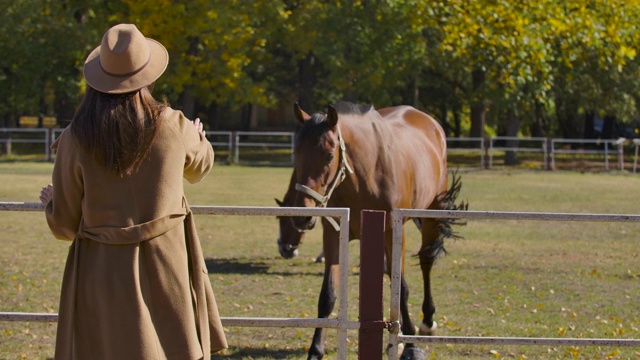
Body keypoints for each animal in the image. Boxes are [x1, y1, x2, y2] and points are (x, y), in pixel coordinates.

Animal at [280, 102, 464, 360]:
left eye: (329, 155)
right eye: (297, 154)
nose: (302, 216)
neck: (364, 175)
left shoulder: (393, 232)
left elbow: (401, 289)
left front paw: (411, 345)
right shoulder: (333, 235)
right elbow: (327, 296)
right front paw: (316, 350)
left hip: (432, 214)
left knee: (426, 260)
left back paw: (427, 321)